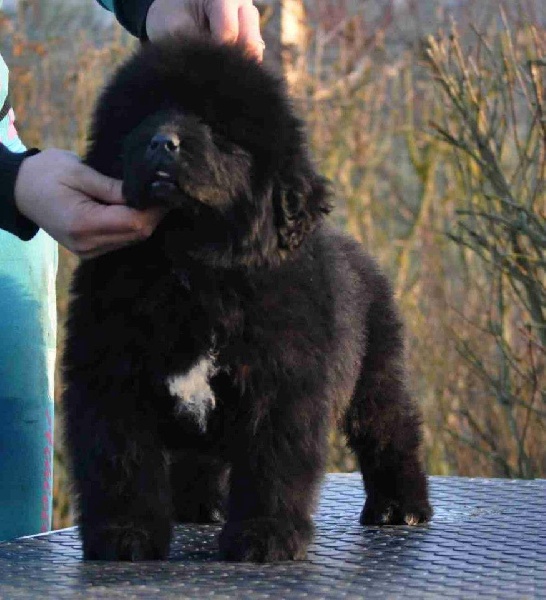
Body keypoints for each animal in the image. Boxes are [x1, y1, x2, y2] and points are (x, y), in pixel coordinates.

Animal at [63, 37, 432, 562]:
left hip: (375, 372)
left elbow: (270, 463)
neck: (188, 267)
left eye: (218, 129)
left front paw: (264, 535)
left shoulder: (281, 382)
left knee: (391, 430)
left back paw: (401, 506)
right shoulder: (111, 374)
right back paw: (198, 505)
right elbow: (120, 459)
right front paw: (124, 534)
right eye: (142, 119)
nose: (161, 142)